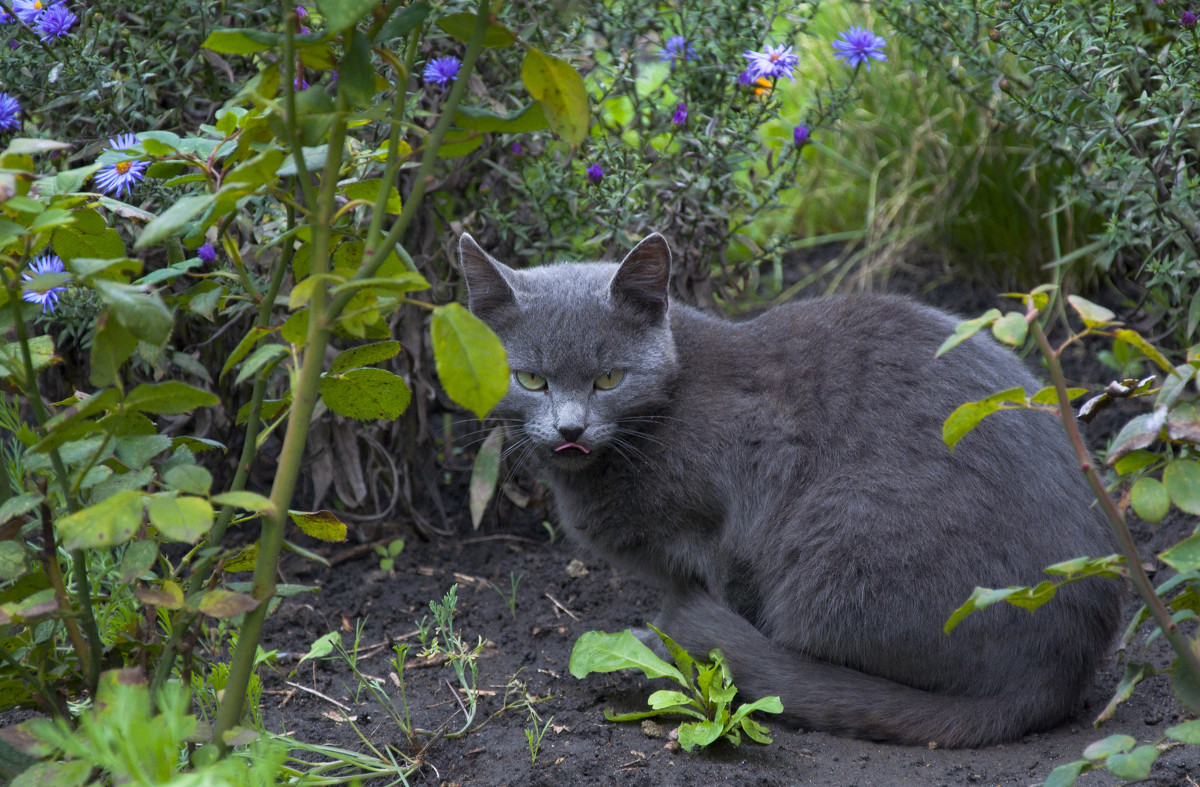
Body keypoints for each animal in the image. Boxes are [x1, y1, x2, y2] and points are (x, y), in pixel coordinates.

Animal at [458, 230, 1123, 748]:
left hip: (841, 543)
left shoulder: (724, 532)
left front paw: (677, 650)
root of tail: (1056, 676)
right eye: (531, 379)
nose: (570, 429)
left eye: (608, 378)